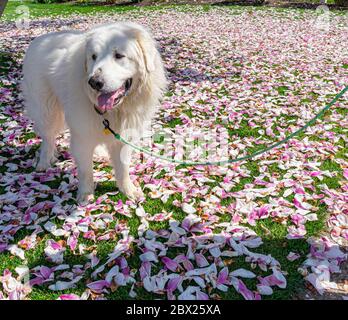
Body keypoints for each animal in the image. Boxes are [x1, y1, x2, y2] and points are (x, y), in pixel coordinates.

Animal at [21, 22, 167, 202]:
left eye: (119, 55)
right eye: (93, 56)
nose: (94, 82)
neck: (114, 111)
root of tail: (40, 39)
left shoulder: (123, 136)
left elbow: (123, 167)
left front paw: (128, 190)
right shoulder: (81, 135)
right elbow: (85, 170)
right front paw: (85, 195)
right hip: (47, 110)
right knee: (48, 137)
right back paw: (43, 162)